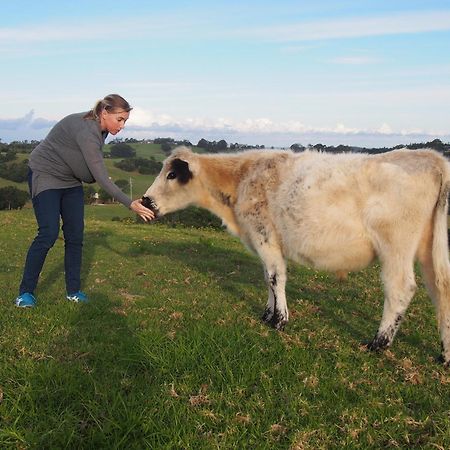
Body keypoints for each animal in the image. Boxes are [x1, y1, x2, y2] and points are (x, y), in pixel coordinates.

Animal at [142, 148, 450, 366]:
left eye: (171, 175)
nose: (145, 201)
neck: (242, 177)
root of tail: (430, 157)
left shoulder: (264, 234)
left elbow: (275, 277)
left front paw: (279, 321)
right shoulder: (264, 241)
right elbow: (268, 277)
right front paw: (268, 314)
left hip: (395, 246)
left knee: (400, 289)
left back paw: (378, 343)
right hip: (427, 248)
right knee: (441, 289)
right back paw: (444, 354)